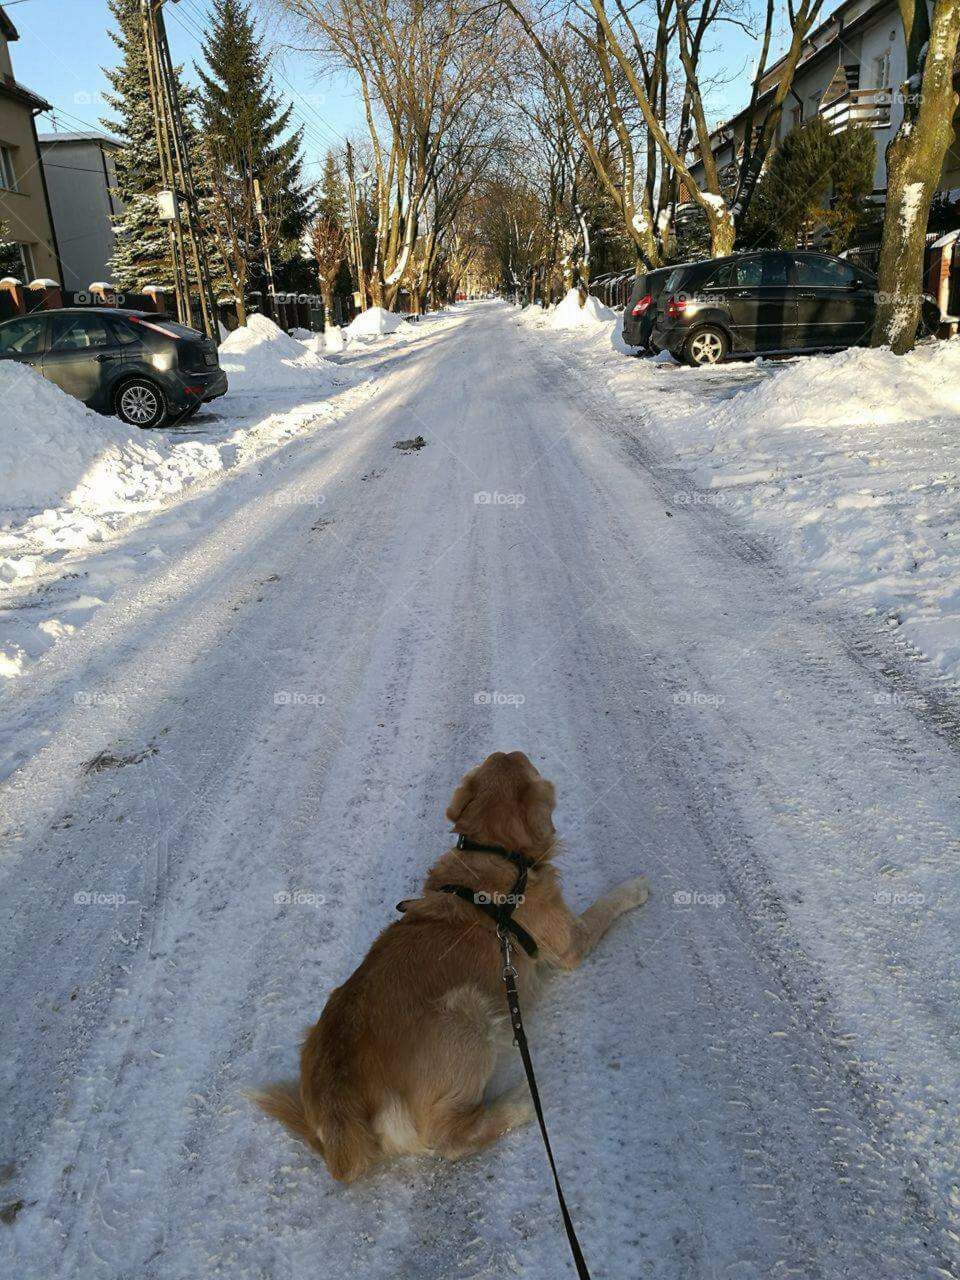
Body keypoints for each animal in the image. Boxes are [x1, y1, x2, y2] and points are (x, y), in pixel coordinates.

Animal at [252, 747, 650, 1177]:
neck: (492, 849)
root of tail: (338, 1111)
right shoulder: (571, 941)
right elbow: (605, 905)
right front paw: (633, 888)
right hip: (468, 1011)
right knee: (452, 1139)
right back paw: (518, 1104)